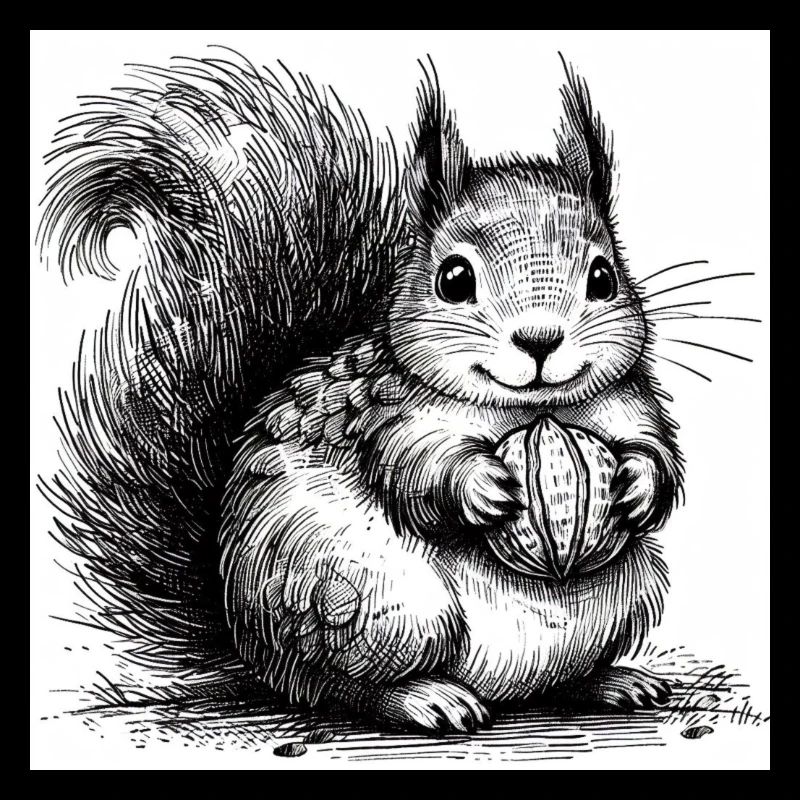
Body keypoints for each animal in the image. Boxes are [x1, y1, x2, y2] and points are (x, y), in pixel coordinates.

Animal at [38, 51, 682, 732]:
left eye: (604, 277)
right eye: (453, 279)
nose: (540, 340)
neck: (533, 410)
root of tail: (254, 648)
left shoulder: (631, 401)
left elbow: (657, 453)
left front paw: (634, 484)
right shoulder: (389, 412)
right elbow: (418, 472)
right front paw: (484, 486)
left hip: (629, 592)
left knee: (561, 676)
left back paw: (613, 681)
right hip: (375, 601)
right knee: (341, 687)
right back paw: (427, 698)